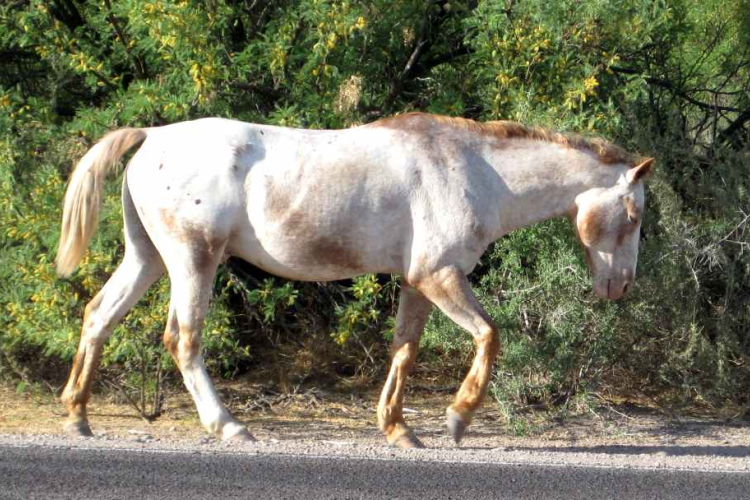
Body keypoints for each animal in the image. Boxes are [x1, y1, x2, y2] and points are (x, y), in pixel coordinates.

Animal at [55, 113, 652, 450]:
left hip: (148, 257)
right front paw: (457, 421)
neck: (477, 171)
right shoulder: (440, 275)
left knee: (99, 315)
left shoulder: (417, 282)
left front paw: (399, 429)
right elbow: (489, 335)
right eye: (635, 213)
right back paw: (229, 426)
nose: (620, 287)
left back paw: (78, 416)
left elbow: (404, 351)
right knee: (183, 339)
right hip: (192, 260)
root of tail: (152, 136)